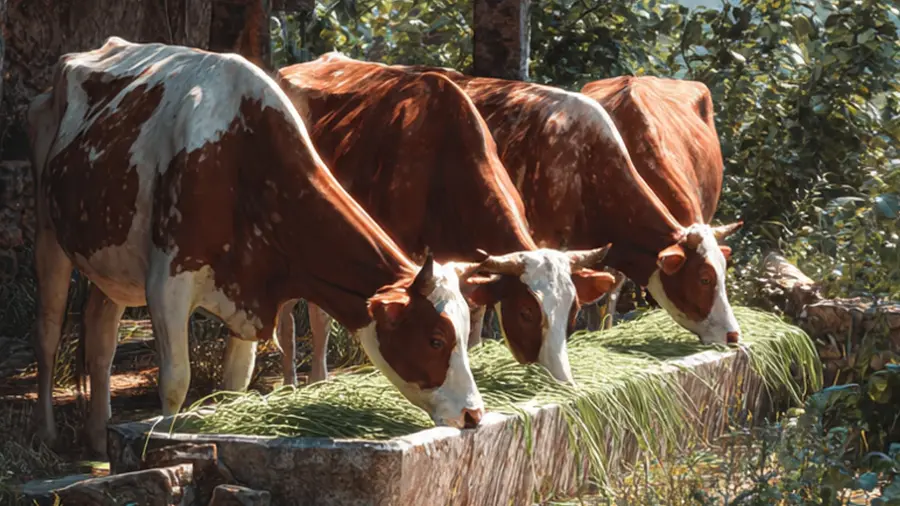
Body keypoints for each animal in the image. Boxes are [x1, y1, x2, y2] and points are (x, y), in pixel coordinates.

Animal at [27, 38, 485, 456]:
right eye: (436, 339)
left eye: (464, 332)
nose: (473, 414)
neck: (238, 155)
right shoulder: (167, 285)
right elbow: (175, 382)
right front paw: (163, 448)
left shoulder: (248, 290)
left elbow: (233, 388)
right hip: (48, 233)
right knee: (48, 332)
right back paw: (47, 433)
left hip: (111, 259)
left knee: (100, 336)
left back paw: (97, 438)